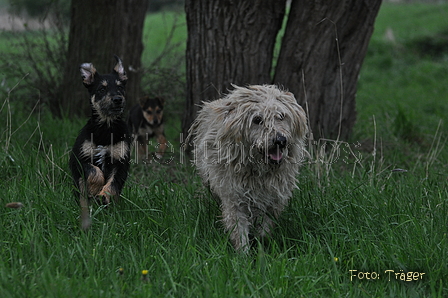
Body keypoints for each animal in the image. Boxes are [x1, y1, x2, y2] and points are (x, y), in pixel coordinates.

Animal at [68, 56, 130, 230]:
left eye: (120, 87)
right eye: (102, 89)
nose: (118, 100)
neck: (106, 129)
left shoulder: (121, 162)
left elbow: (113, 183)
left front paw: (104, 195)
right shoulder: (77, 159)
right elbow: (94, 172)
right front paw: (95, 189)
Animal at [186, 85, 308, 253]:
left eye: (281, 116)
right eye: (257, 120)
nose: (280, 140)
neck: (258, 171)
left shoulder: (271, 200)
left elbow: (264, 230)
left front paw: (261, 248)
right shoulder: (234, 199)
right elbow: (239, 231)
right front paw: (243, 256)